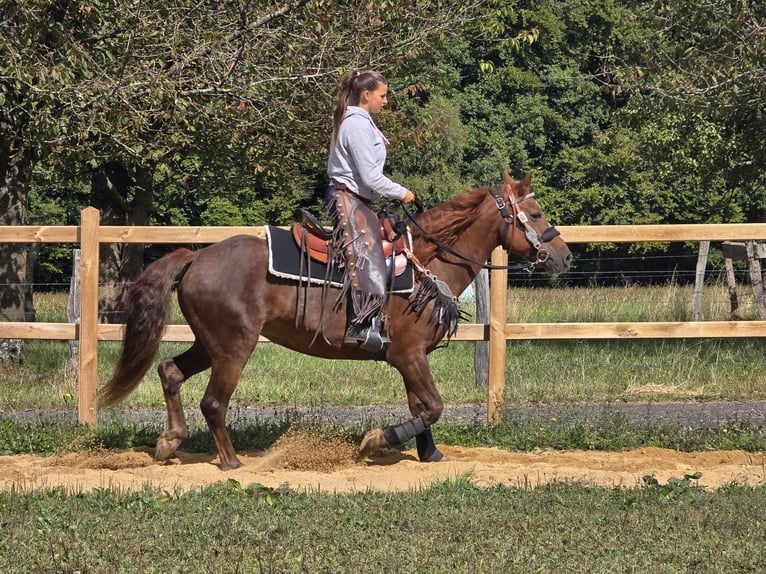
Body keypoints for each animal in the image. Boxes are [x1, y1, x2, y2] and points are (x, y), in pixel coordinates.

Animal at [100, 171, 568, 472]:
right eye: (536, 213)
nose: (564, 257)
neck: (425, 265)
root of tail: (197, 256)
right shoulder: (409, 356)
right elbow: (433, 406)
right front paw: (377, 440)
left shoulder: (410, 358)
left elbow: (421, 406)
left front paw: (429, 455)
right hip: (234, 347)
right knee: (213, 402)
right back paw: (231, 462)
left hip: (209, 342)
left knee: (170, 371)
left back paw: (169, 441)